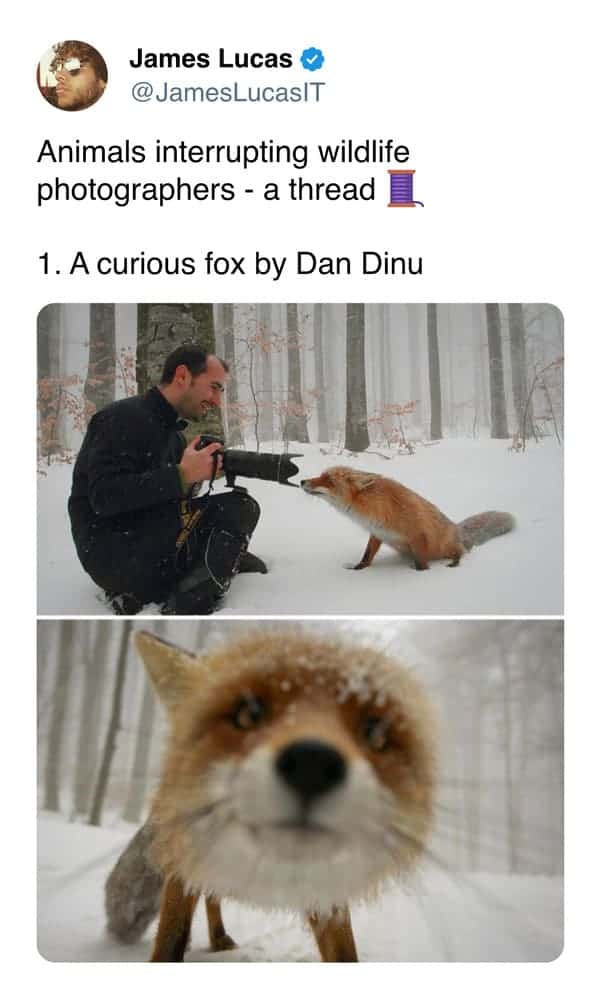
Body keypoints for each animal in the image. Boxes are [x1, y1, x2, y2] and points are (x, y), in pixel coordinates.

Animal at [105, 629, 438, 962]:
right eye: (248, 715)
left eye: (375, 734)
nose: (311, 764)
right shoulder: (182, 860)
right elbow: (171, 939)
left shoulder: (327, 890)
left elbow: (344, 953)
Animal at [301, 466, 515, 571]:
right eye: (320, 475)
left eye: (328, 480)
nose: (302, 481)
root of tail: (458, 529)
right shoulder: (377, 532)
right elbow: (367, 556)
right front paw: (357, 569)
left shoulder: (418, 535)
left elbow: (422, 564)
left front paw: (420, 574)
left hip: (447, 546)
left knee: (460, 552)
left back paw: (454, 563)